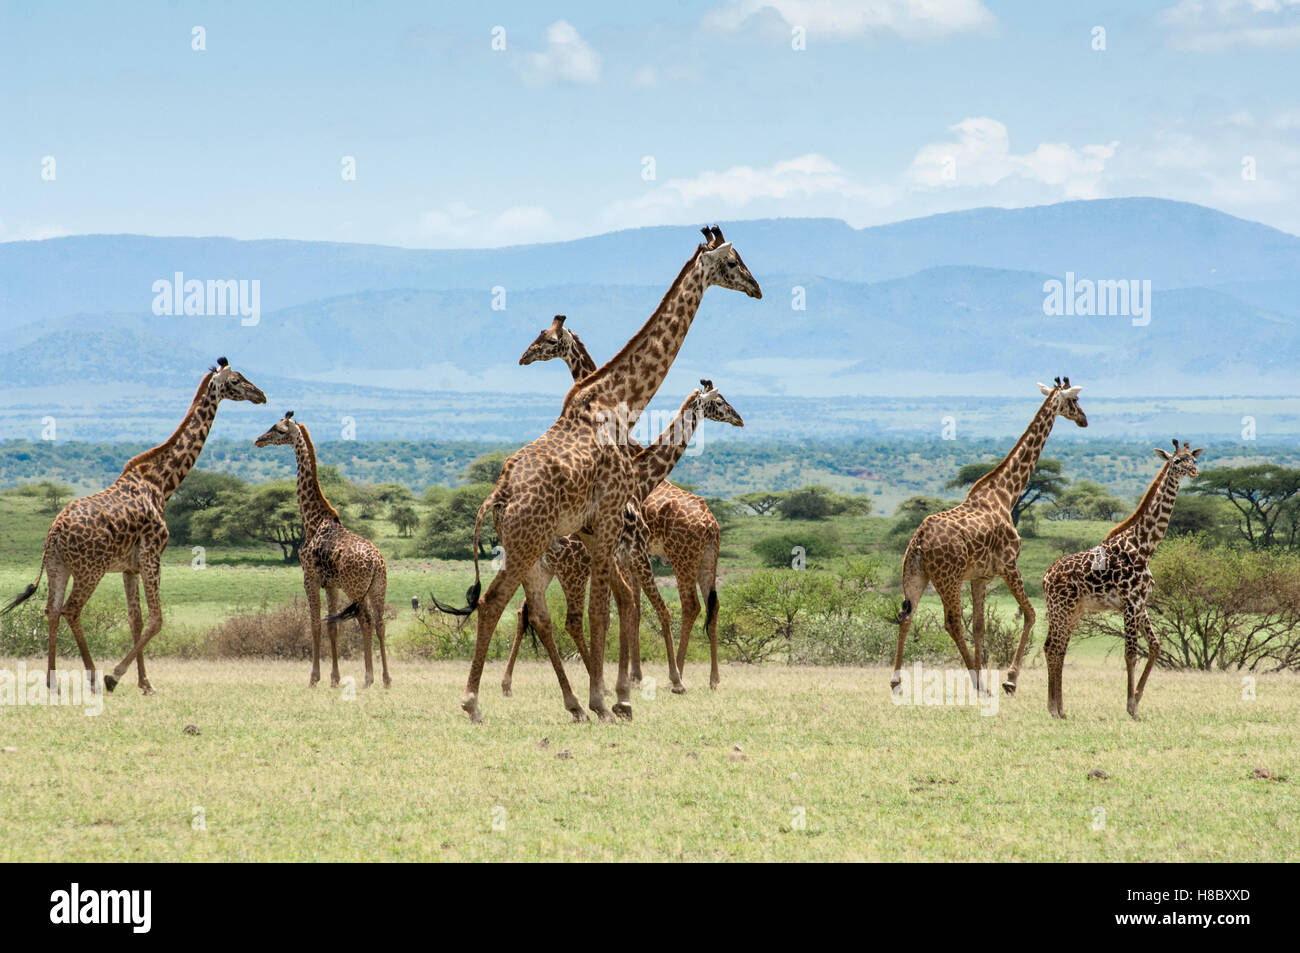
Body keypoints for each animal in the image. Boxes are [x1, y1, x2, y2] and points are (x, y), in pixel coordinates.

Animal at [3, 359, 267, 693]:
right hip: (90, 569)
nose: (261, 395)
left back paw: (52, 682)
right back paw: (93, 677)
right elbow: (157, 619)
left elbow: (136, 620)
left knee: (51, 610)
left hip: (57, 566)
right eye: (236, 380)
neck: (161, 484)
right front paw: (114, 676)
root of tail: (55, 531)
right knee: (71, 609)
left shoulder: (130, 567)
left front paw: (144, 682)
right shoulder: (152, 555)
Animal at [254, 412, 391, 689]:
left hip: (355, 587)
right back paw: (386, 678)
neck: (313, 520)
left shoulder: (310, 577)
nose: (259, 440)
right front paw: (334, 678)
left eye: (279, 430)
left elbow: (316, 624)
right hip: (377, 587)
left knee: (366, 620)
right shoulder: (331, 584)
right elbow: (332, 627)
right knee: (380, 622)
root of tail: (376, 562)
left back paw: (368, 678)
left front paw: (314, 677)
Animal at [519, 315, 733, 690]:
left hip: (689, 556)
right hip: (693, 557)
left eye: (549, 340)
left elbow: (630, 608)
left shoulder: (632, 552)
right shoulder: (630, 552)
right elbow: (629, 610)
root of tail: (712, 523)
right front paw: (634, 675)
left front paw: (633, 675)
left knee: (696, 606)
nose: (525, 356)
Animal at [890, 378, 1088, 698]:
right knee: (952, 623)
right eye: (1074, 401)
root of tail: (919, 541)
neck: (1007, 494)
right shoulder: (1008, 565)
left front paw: (990, 675)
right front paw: (1009, 679)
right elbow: (1030, 614)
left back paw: (897, 682)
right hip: (947, 577)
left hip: (914, 574)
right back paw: (979, 685)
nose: (1084, 419)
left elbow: (981, 627)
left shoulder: (979, 576)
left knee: (906, 615)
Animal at [1041, 440, 1202, 720]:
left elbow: (1155, 646)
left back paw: (1059, 708)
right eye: (1176, 461)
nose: (1194, 471)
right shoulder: (1128, 603)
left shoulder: (1140, 603)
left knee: (1056, 647)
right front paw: (1130, 707)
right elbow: (1130, 654)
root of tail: (1046, 577)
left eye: (1193, 458)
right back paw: (1054, 708)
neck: (1144, 547)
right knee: (1054, 647)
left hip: (1073, 611)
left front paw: (1136, 699)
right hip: (1062, 609)